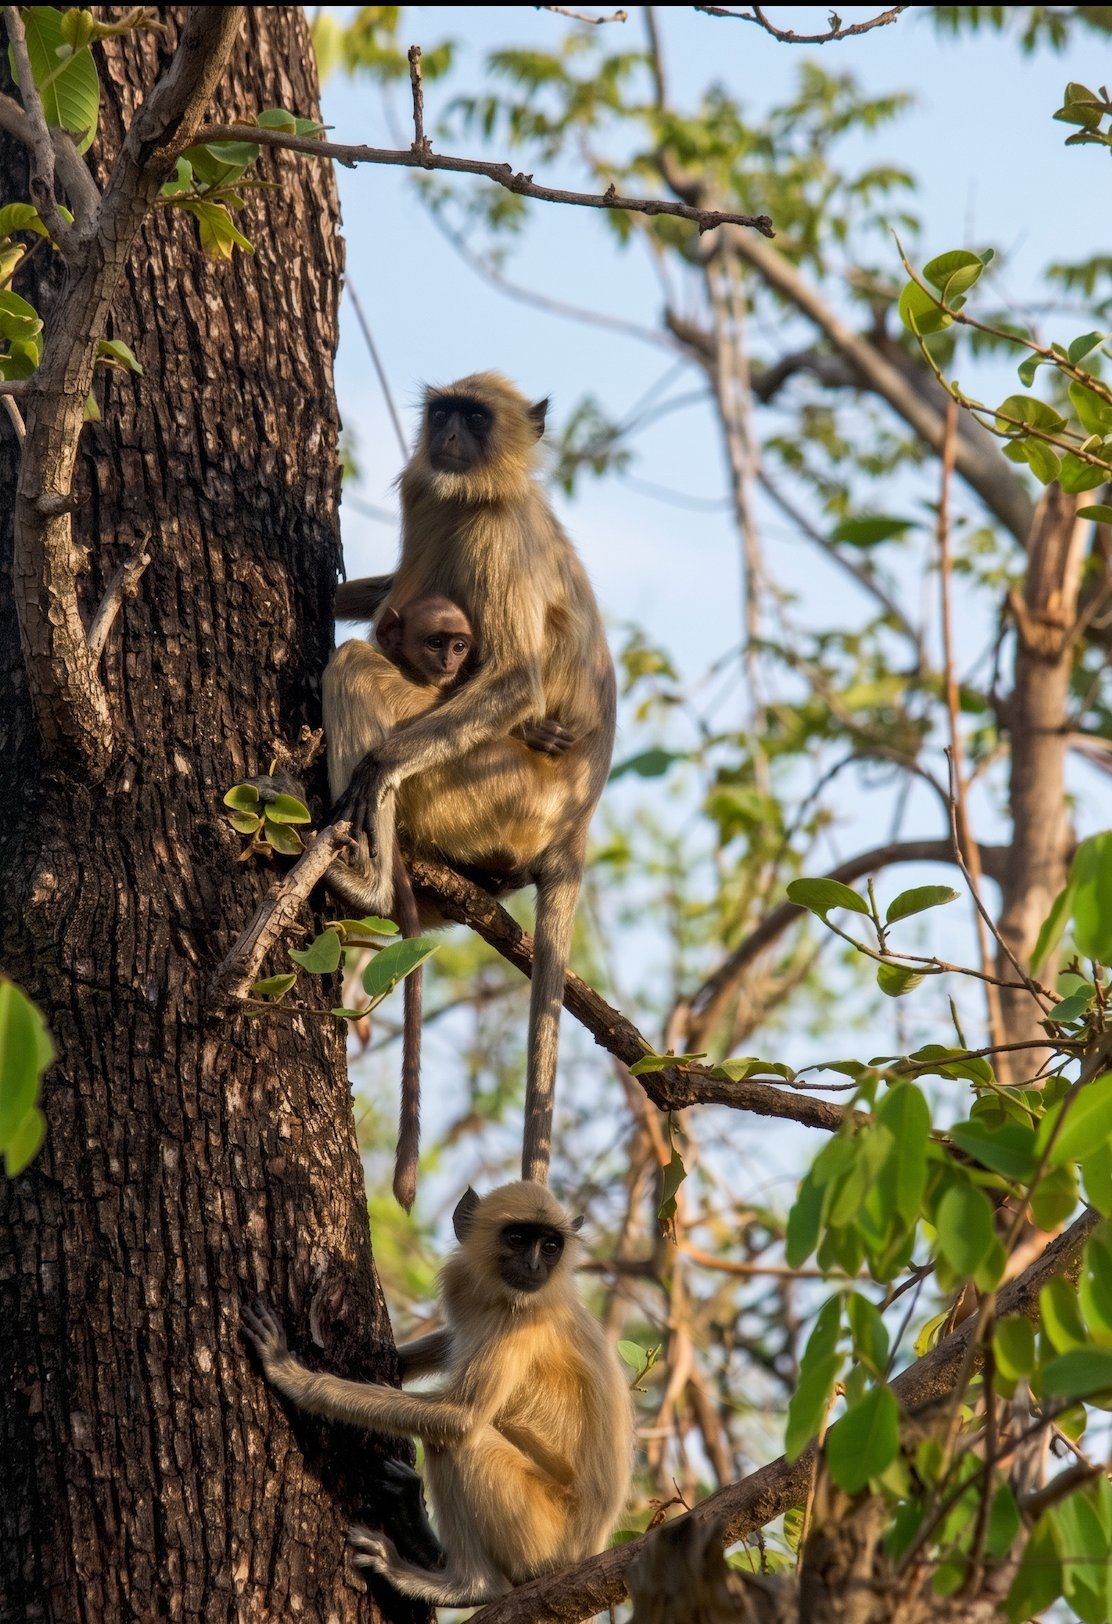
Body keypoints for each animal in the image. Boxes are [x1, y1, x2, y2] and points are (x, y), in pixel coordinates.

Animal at [242, 1181, 634, 1606]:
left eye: (550, 1246)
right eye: (517, 1238)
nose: (534, 1267)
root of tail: (589, 1546)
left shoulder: (524, 1322)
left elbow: (459, 1419)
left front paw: (292, 1376)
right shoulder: (465, 1283)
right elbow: (450, 1344)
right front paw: (396, 1362)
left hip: (544, 1535)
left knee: (456, 1442)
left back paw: (466, 1585)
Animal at [324, 372, 617, 1186]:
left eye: (477, 418)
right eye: (445, 411)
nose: (451, 434)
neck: (477, 493)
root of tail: (576, 820)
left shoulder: (500, 538)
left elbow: (515, 681)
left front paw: (378, 769)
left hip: (492, 790)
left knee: (356, 666)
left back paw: (367, 880)